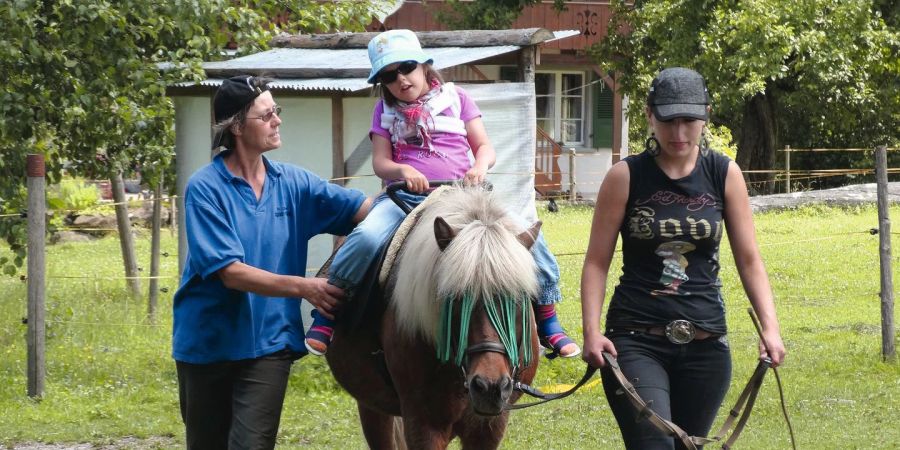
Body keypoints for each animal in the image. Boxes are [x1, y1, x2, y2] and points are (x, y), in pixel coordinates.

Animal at [328, 185, 540, 448]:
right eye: (456, 299)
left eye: (519, 299)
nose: (490, 387)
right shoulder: (424, 424)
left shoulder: (489, 426)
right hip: (372, 407)